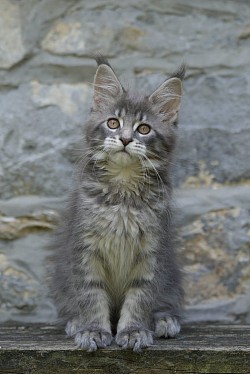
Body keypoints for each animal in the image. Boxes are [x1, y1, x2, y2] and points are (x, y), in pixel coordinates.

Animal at [49, 55, 185, 350]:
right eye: (113, 123)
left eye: (143, 129)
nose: (124, 139)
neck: (123, 190)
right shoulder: (83, 248)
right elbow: (91, 294)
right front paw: (92, 330)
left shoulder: (153, 250)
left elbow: (141, 295)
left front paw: (134, 331)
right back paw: (75, 321)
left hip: (171, 274)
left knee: (166, 300)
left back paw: (164, 321)